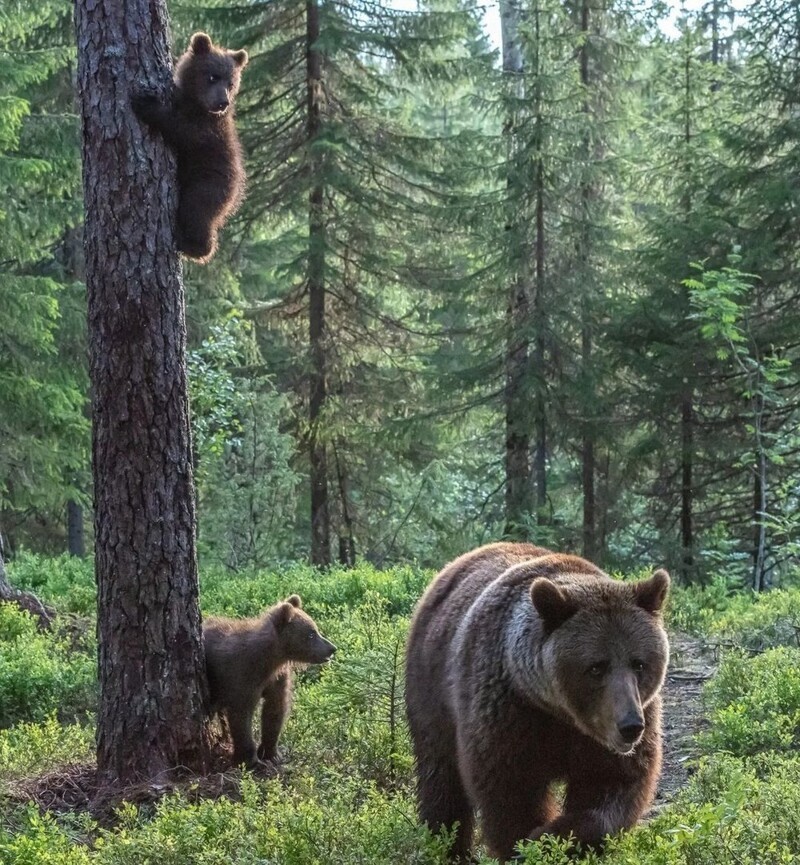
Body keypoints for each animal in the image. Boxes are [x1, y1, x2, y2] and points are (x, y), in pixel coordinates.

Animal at [406, 544, 668, 860]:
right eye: (596, 667)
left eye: (639, 663)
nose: (630, 726)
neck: (559, 713)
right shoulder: (509, 712)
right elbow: (511, 792)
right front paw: (527, 842)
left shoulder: (610, 736)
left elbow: (613, 786)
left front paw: (555, 834)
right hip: (431, 687)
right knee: (440, 775)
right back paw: (449, 846)